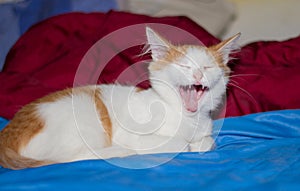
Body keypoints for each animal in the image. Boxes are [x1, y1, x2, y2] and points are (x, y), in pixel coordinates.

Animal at [0, 26, 240, 169]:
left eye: (207, 67)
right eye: (184, 66)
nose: (198, 75)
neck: (184, 117)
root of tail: (7, 135)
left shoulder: (205, 132)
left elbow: (207, 142)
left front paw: (200, 144)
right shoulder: (135, 135)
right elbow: (180, 144)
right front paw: (185, 145)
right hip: (83, 116)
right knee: (67, 158)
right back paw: (119, 152)